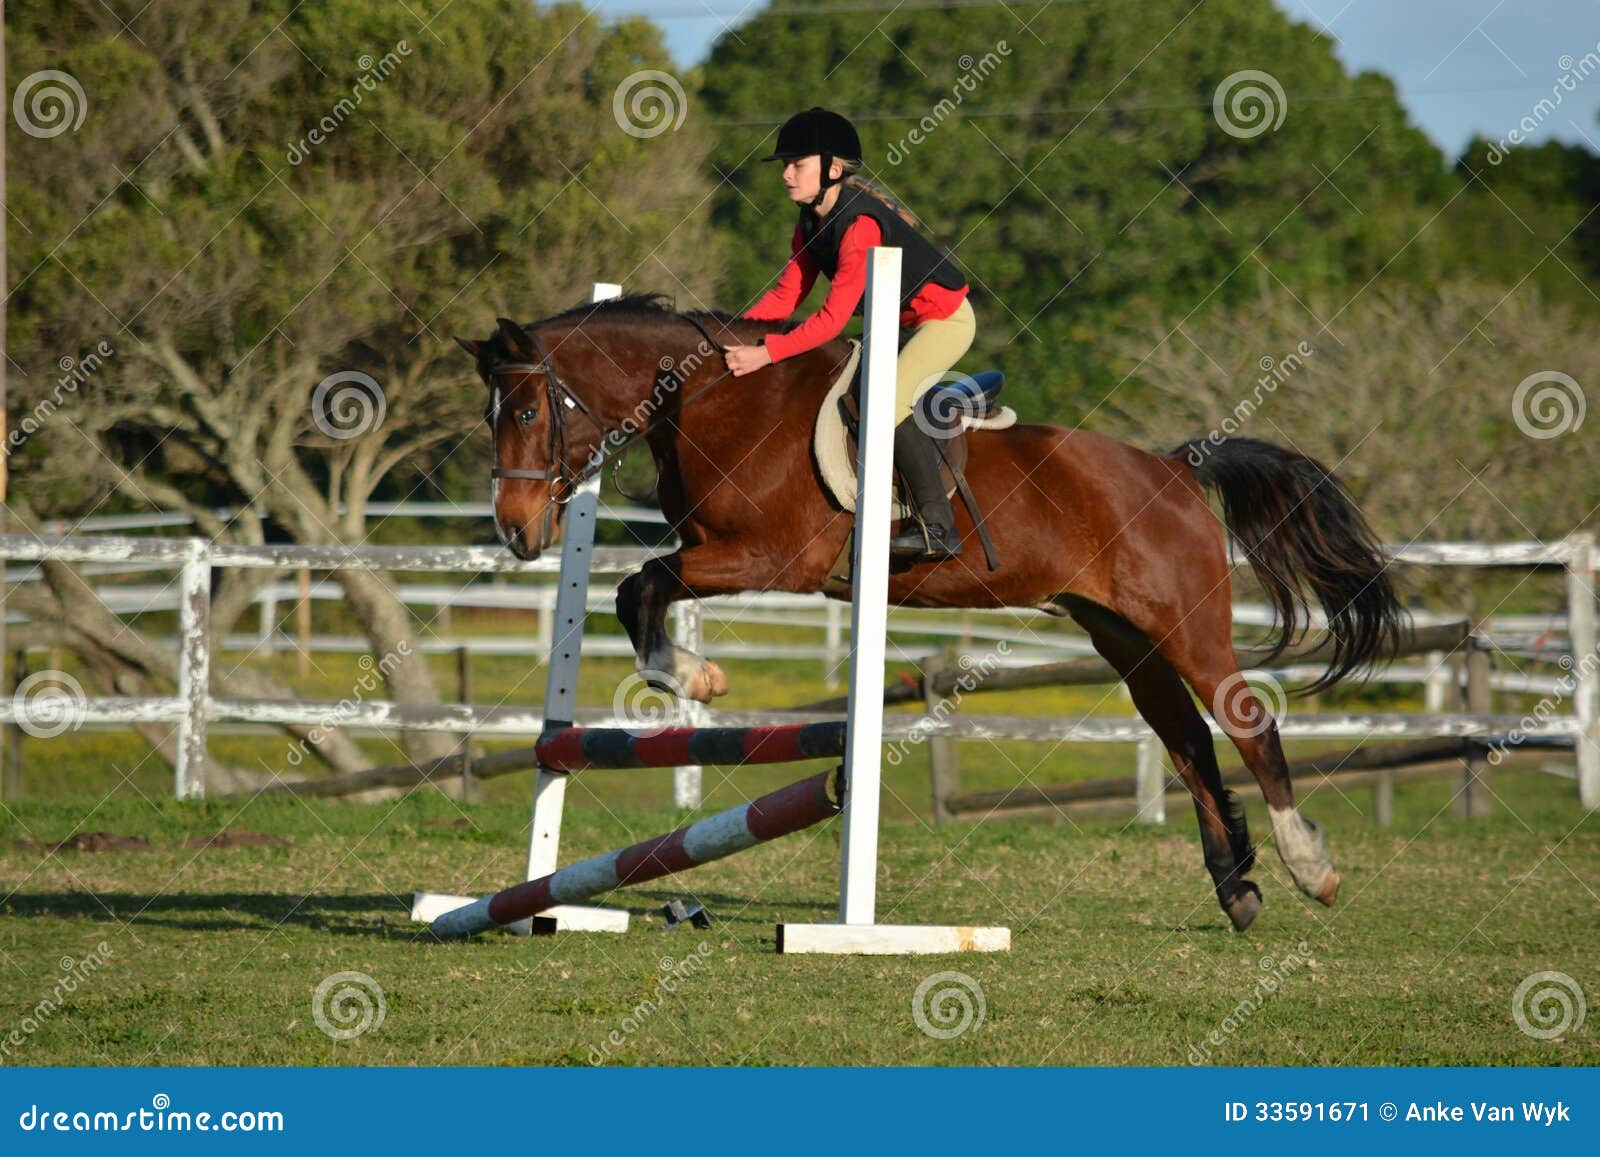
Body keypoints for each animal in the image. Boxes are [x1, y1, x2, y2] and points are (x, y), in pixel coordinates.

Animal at [457, 294, 1408, 934]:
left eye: (530, 408)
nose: (515, 531)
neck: (720, 402)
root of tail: (1176, 467)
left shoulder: (768, 557)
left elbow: (641, 586)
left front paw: (697, 675)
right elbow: (638, 589)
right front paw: (686, 674)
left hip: (1187, 622)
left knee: (1247, 725)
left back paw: (1309, 868)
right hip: (1124, 636)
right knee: (1186, 740)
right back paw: (1237, 890)